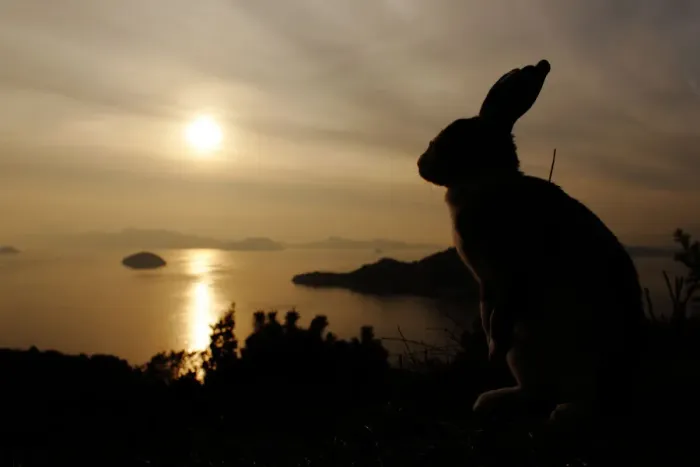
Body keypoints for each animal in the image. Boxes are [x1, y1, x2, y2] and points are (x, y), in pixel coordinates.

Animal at [417, 60, 646, 424]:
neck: (484, 180)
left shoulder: (510, 273)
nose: (420, 165)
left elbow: (501, 312)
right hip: (525, 354)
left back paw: (566, 412)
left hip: (588, 357)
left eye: (454, 139)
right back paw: (490, 400)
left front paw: (492, 349)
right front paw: (490, 348)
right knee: (534, 391)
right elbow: (486, 311)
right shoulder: (487, 283)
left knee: (591, 400)